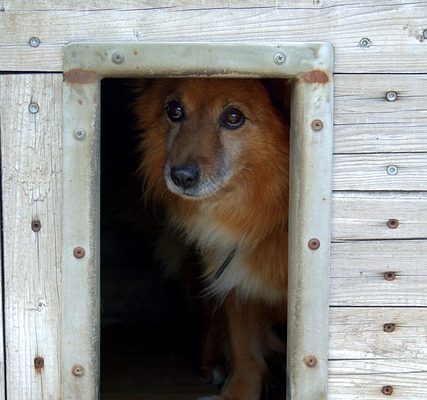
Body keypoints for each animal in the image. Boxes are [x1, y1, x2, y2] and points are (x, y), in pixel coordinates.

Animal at [135, 76, 290, 398]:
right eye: (175, 110)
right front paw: (237, 392)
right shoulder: (233, 277)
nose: (181, 176)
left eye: (233, 117)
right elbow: (245, 351)